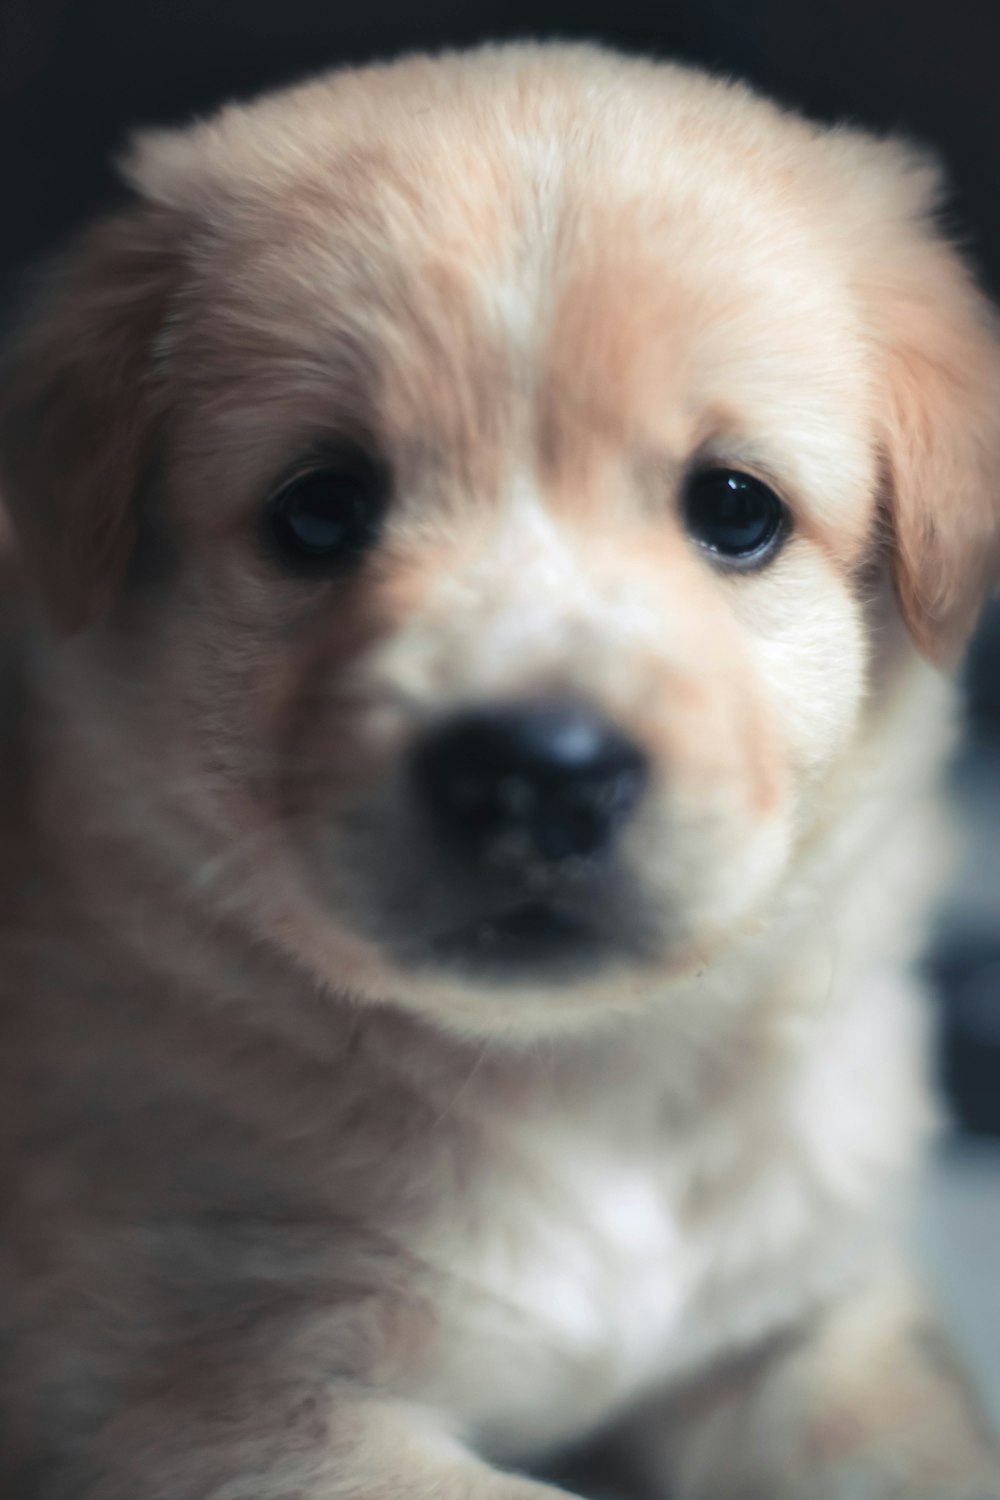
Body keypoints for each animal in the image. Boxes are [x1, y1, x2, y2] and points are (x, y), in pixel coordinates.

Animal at [1, 41, 1000, 1500]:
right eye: (319, 510)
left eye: (736, 509)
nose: (539, 775)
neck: (578, 1085)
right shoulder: (197, 1394)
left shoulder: (815, 1314)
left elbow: (913, 1445)